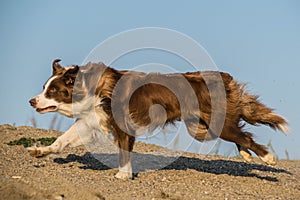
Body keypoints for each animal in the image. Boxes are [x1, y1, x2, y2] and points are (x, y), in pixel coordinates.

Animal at [28, 58, 288, 179]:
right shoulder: (91, 120)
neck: (92, 87)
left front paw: (123, 175)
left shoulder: (123, 125)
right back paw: (246, 154)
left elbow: (124, 152)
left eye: (52, 91)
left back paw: (268, 157)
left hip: (214, 124)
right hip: (202, 127)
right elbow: (63, 139)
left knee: (245, 135)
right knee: (241, 134)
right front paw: (40, 151)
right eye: (44, 88)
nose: (31, 101)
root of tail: (221, 77)